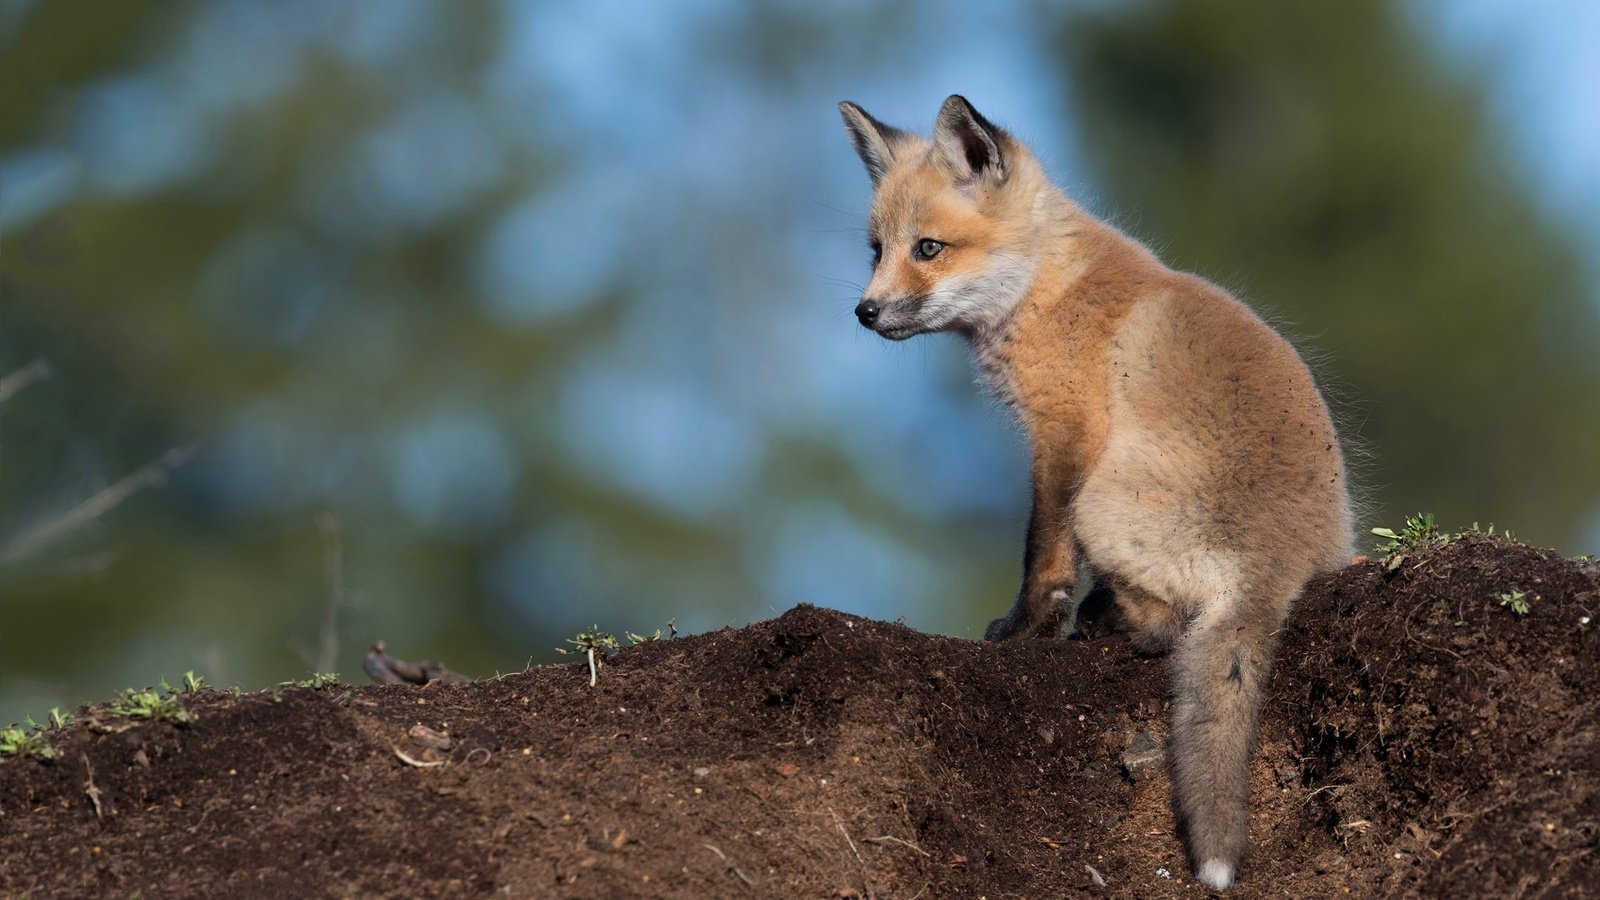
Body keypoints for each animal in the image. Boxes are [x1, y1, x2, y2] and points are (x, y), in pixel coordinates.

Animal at [838, 96, 1350, 883]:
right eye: (876, 250)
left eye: (927, 249)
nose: (864, 312)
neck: (1048, 288)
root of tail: (1278, 563)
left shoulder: (1065, 433)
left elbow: (1041, 554)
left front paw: (1027, 630)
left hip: (1103, 500)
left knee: (1169, 630)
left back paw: (1110, 621)